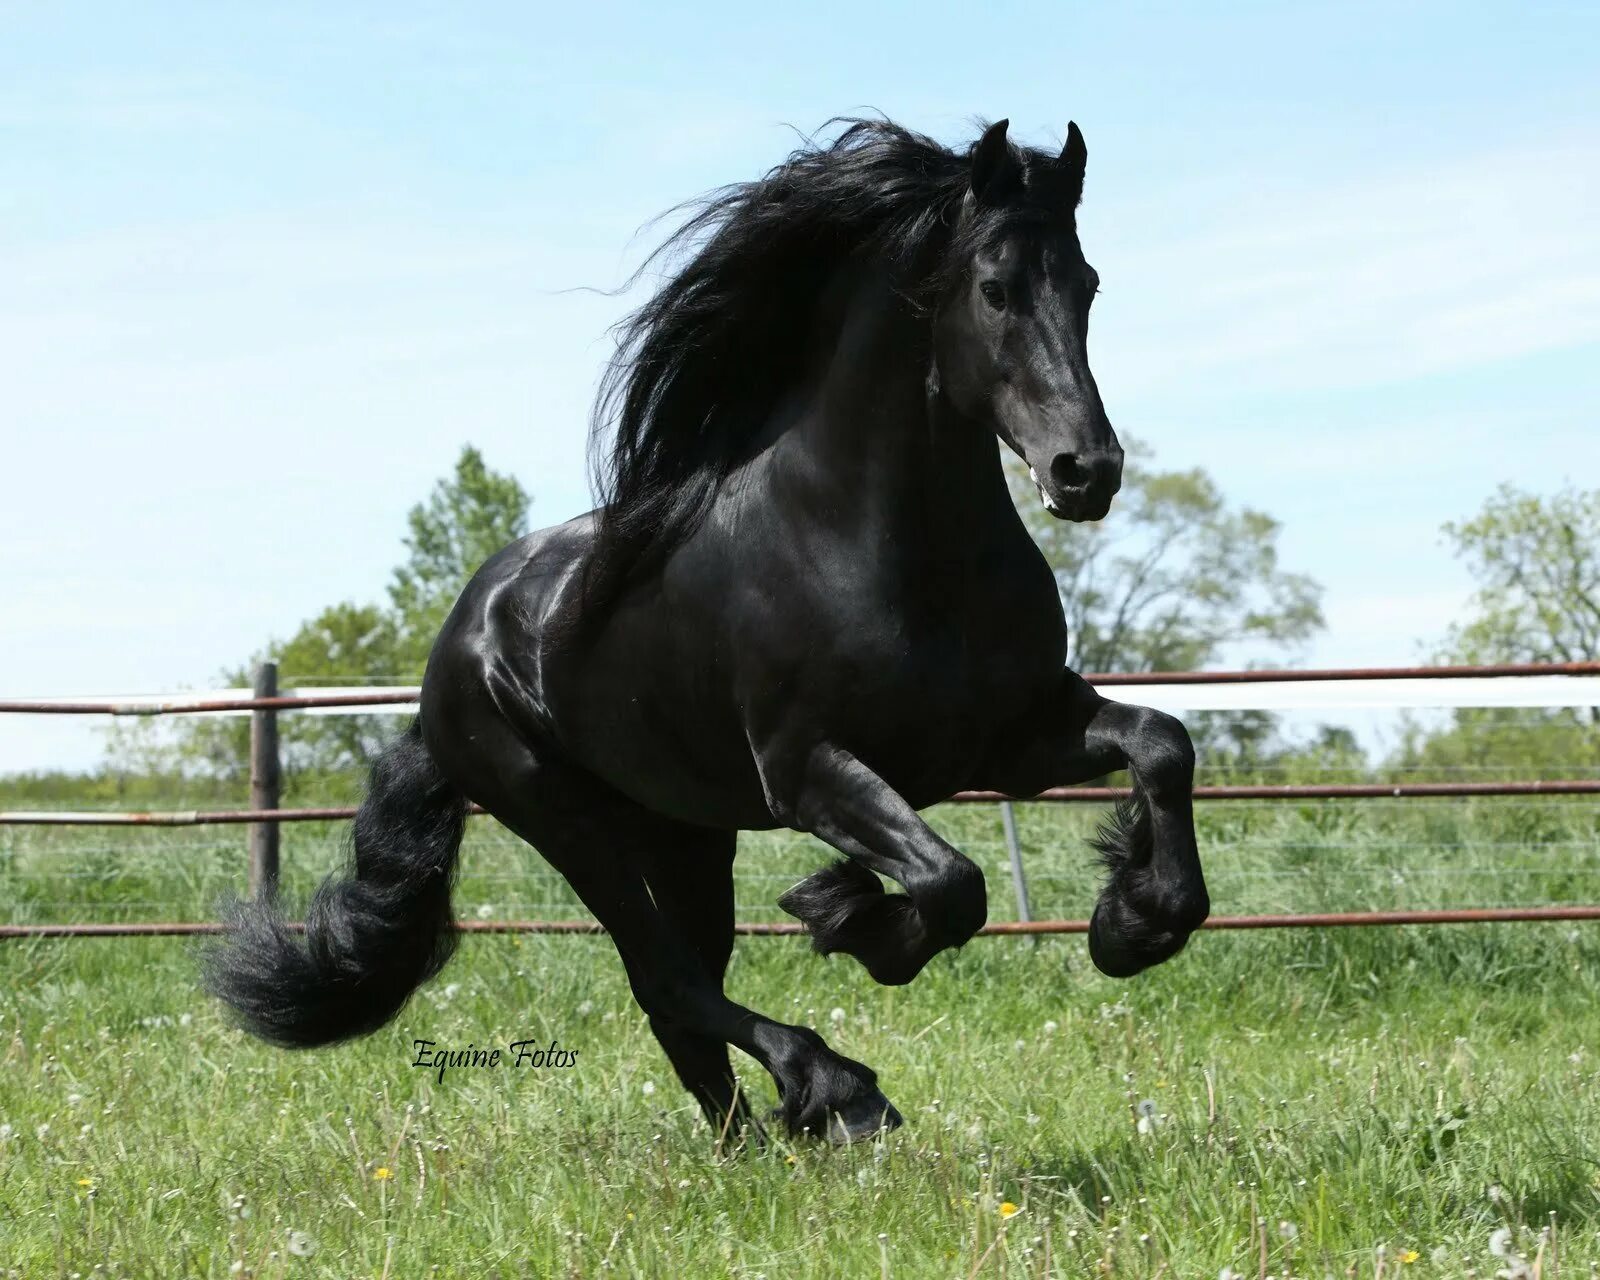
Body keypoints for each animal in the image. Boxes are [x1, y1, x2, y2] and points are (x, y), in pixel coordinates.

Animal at [212, 117, 1209, 1139]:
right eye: (995, 287)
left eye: (1087, 283)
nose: (1086, 469)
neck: (884, 546)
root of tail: (451, 653)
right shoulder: (809, 771)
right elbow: (950, 885)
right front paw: (852, 920)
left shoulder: (1007, 741)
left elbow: (1162, 743)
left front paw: (1132, 924)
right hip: (563, 820)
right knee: (668, 981)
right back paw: (837, 1091)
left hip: (685, 832)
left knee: (684, 1005)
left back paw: (756, 1141)